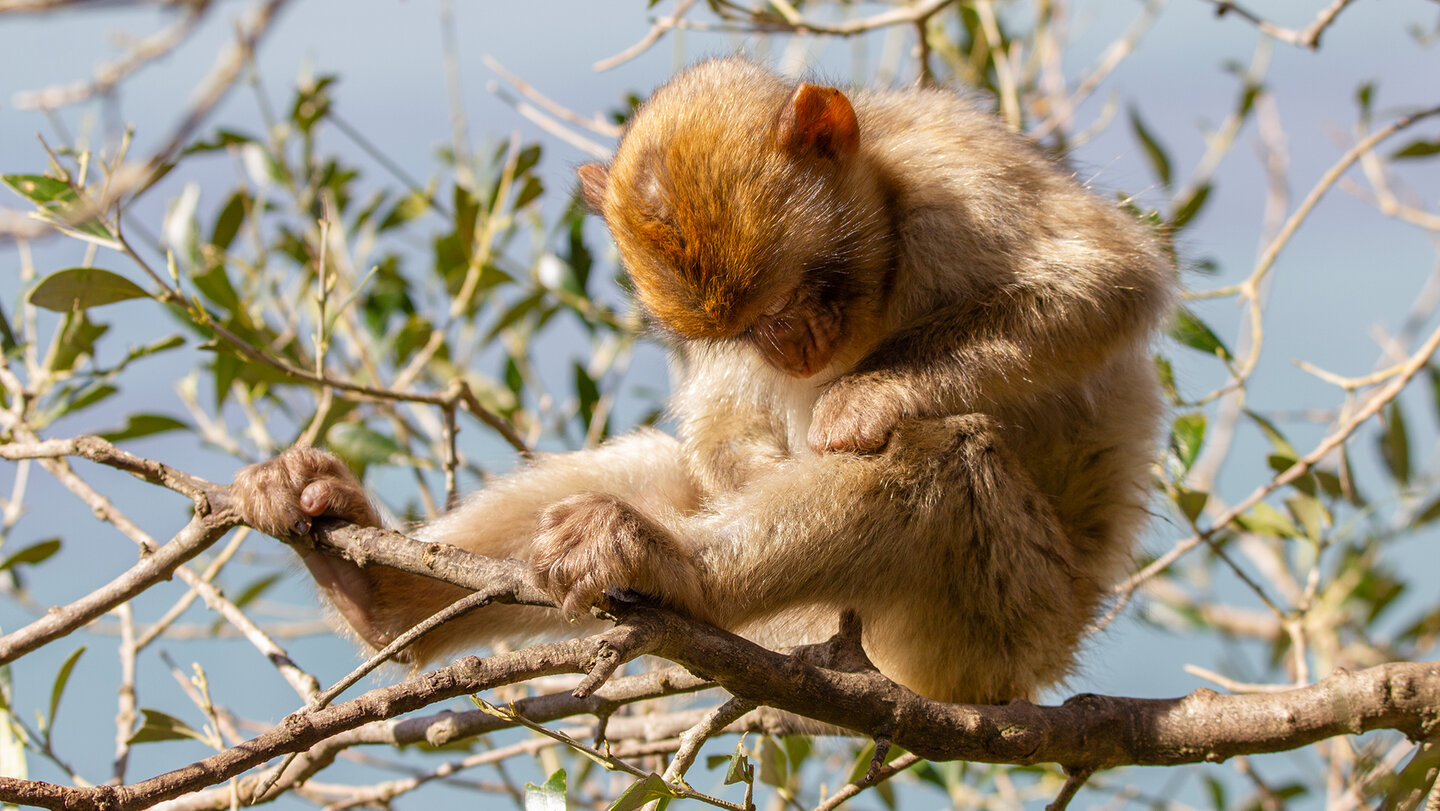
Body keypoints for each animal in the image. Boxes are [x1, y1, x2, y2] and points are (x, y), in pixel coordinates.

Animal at [233, 58, 1169, 705]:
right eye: (745, 329)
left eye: (793, 299)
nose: (787, 348)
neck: (890, 212)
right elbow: (719, 425)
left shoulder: (959, 175)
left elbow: (1107, 282)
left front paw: (867, 396)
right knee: (658, 473)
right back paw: (378, 590)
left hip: (997, 624)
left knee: (946, 462)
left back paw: (676, 568)